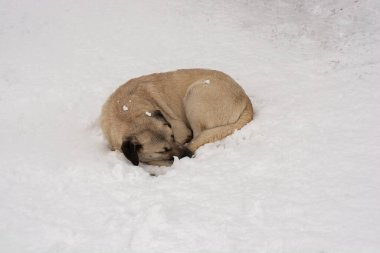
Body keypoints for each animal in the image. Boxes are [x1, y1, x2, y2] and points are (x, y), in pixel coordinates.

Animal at [101, 68, 254, 166]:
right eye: (162, 150)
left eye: (173, 136)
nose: (189, 155)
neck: (127, 112)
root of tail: (247, 100)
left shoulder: (180, 129)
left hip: (194, 95)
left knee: (199, 136)